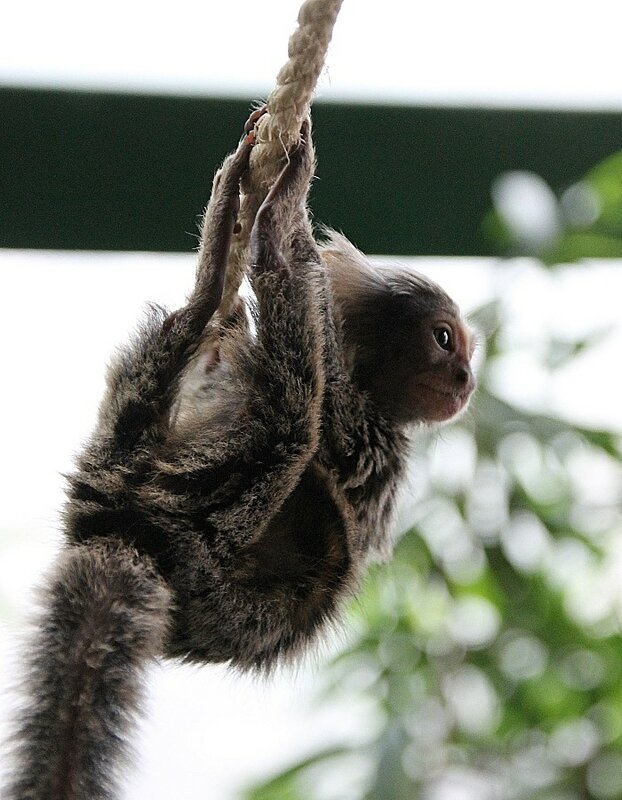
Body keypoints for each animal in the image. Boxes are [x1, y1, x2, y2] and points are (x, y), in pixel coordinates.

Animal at [4, 114, 476, 800]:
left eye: (462, 351)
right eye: (445, 341)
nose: (466, 379)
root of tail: (134, 533)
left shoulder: (371, 440)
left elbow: (325, 401)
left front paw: (285, 223)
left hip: (208, 519)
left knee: (294, 414)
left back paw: (255, 251)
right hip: (118, 461)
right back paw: (206, 293)